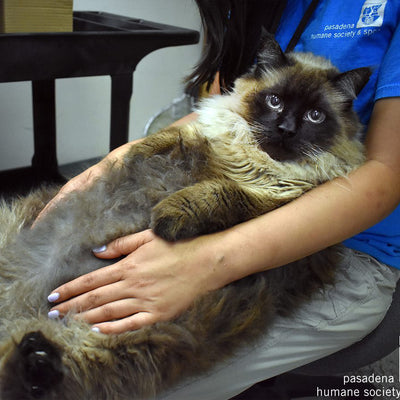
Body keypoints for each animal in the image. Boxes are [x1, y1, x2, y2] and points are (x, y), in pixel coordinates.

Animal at [0, 38, 370, 400]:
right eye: (275, 101)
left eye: (314, 116)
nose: (286, 129)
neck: (251, 157)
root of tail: (16, 305)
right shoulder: (201, 135)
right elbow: (166, 138)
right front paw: (131, 157)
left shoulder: (275, 199)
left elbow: (216, 194)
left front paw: (165, 217)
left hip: (136, 331)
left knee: (60, 365)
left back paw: (36, 356)